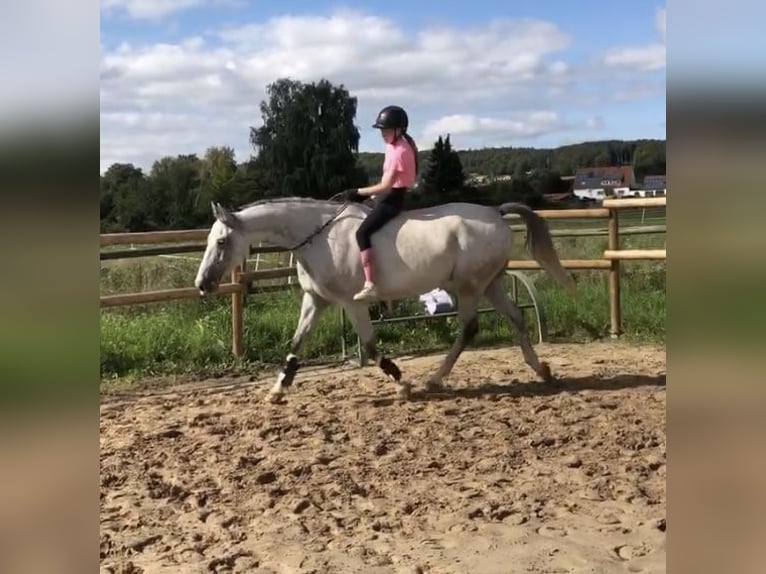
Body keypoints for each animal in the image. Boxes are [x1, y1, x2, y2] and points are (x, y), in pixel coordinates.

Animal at [195, 198, 580, 404]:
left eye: (221, 242)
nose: (202, 284)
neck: (318, 238)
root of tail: (497, 213)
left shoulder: (353, 303)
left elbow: (369, 344)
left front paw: (402, 383)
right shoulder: (315, 300)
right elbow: (296, 344)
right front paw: (277, 391)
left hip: (470, 286)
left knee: (470, 328)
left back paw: (435, 380)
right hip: (490, 284)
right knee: (515, 317)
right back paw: (542, 370)